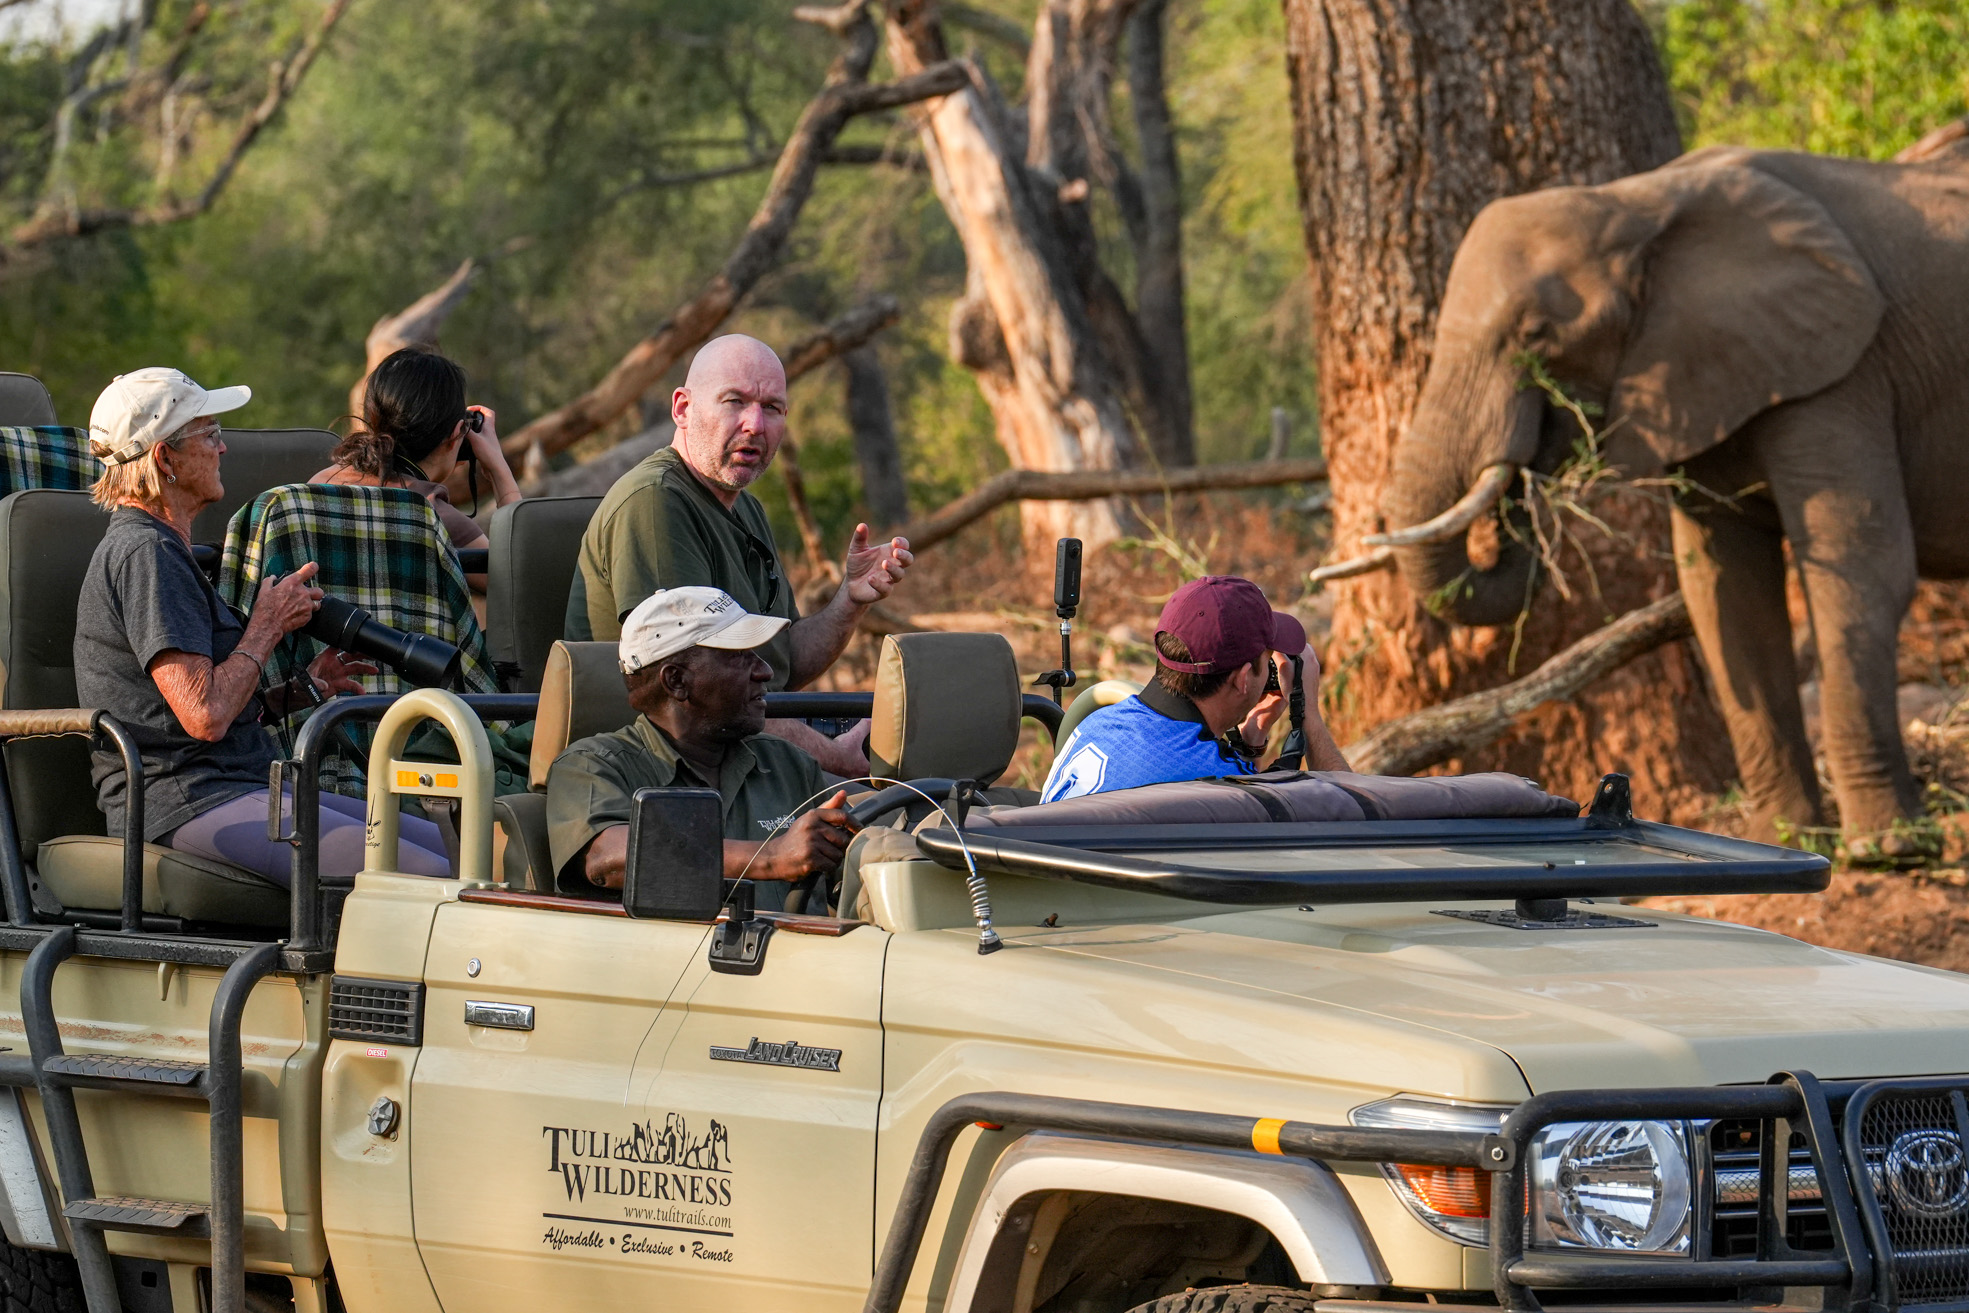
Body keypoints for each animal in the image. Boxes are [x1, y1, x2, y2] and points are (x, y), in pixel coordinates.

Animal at [1370, 143, 1969, 854]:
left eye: (1538, 334)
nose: (1527, 457)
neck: (1640, 201)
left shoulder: (1841, 370)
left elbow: (1858, 566)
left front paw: (1889, 849)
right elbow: (1724, 591)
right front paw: (1781, 837)